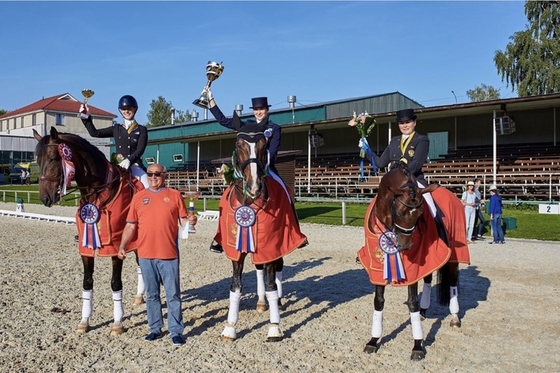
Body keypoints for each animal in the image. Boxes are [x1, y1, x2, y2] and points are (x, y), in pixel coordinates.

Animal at [33, 126, 144, 336]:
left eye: (53, 158)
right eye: (36, 160)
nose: (45, 198)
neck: (98, 195)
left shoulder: (116, 247)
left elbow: (115, 283)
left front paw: (117, 323)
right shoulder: (85, 248)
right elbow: (87, 282)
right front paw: (84, 321)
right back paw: (140, 297)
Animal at [213, 113, 306, 340]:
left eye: (265, 145)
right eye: (238, 145)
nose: (254, 186)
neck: (249, 203)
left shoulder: (271, 246)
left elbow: (272, 284)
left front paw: (274, 326)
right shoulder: (237, 250)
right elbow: (235, 286)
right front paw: (230, 327)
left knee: (277, 270)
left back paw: (277, 303)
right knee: (258, 269)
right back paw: (262, 302)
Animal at [358, 161, 468, 358]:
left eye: (420, 215)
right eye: (399, 212)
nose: (406, 245)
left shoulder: (412, 267)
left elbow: (412, 303)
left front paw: (417, 345)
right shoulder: (377, 266)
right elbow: (378, 301)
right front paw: (373, 340)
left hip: (453, 255)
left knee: (453, 282)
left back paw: (455, 317)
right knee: (428, 278)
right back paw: (424, 311)